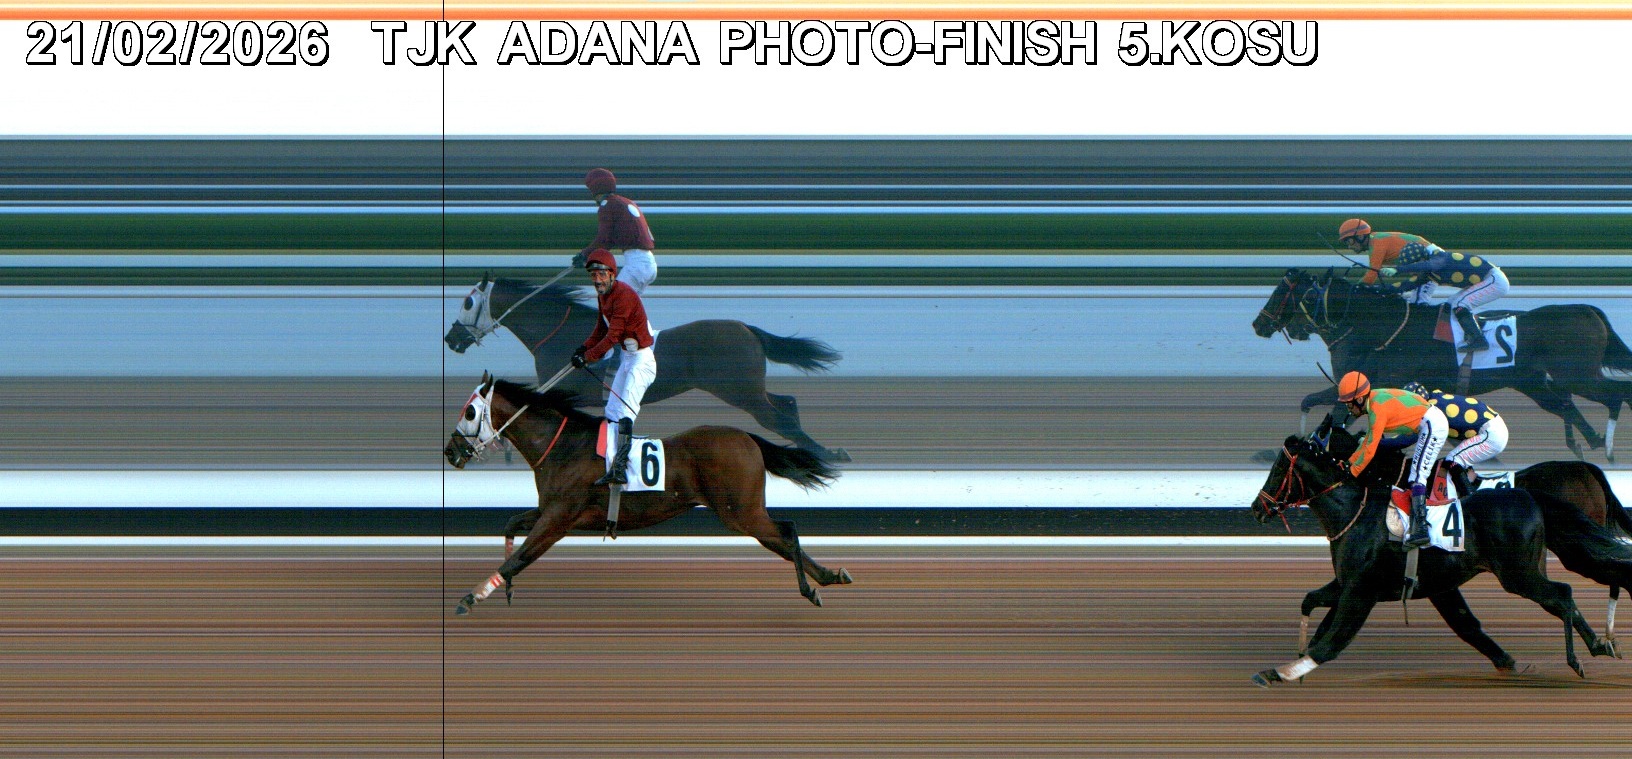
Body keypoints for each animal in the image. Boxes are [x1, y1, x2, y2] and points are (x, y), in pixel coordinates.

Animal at [443, 374, 854, 615]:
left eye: (469, 412)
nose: (449, 452)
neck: (562, 445)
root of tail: (747, 437)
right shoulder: (551, 510)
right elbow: (511, 524)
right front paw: (506, 590)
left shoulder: (559, 519)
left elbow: (520, 558)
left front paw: (471, 596)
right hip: (743, 512)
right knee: (783, 539)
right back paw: (830, 576)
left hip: (740, 512)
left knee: (787, 530)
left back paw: (812, 588)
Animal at [445, 274, 851, 462]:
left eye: (468, 302)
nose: (451, 338)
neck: (560, 333)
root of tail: (747, 329)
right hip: (750, 389)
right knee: (787, 404)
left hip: (739, 391)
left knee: (777, 417)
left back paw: (828, 455)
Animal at [1249, 435, 1626, 686]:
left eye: (1279, 468)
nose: (1257, 507)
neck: (1355, 512)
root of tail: (1530, 496)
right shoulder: (1351, 584)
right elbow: (1312, 605)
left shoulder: (1363, 590)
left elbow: (1332, 640)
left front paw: (1280, 672)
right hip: (1530, 568)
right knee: (1565, 597)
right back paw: (1600, 645)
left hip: (1518, 574)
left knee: (1564, 593)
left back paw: (1579, 658)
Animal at [1251, 268, 1632, 460]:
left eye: (1282, 291)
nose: (1258, 323)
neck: (1381, 327)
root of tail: (1585, 308)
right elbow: (1317, 405)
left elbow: (1322, 408)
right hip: (1536, 381)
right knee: (1567, 405)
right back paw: (1591, 443)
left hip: (1579, 374)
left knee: (1616, 395)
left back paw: (1609, 449)